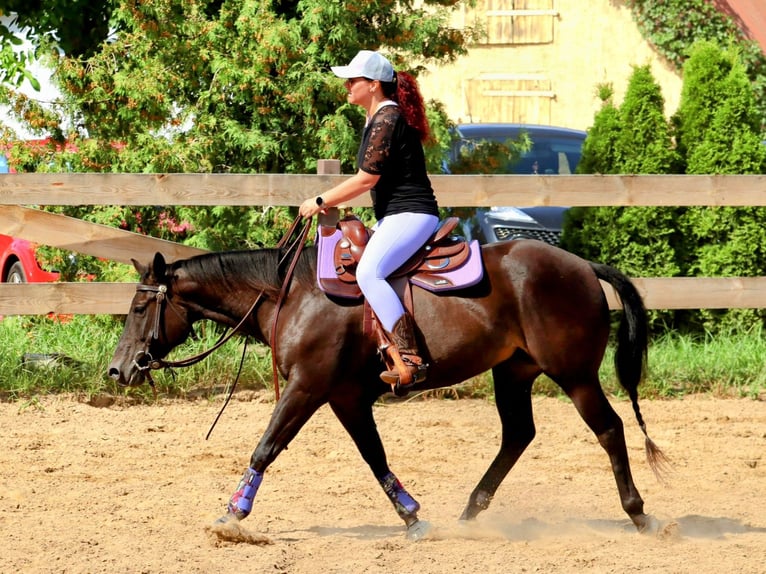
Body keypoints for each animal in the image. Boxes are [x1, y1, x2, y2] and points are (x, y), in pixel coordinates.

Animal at [108, 236, 666, 539]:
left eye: (138, 307)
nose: (117, 370)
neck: (294, 295)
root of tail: (582, 265)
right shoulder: (346, 398)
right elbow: (374, 457)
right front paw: (412, 517)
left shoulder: (307, 389)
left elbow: (265, 447)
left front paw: (232, 515)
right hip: (513, 373)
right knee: (518, 436)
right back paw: (471, 511)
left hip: (575, 375)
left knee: (610, 429)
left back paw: (640, 514)